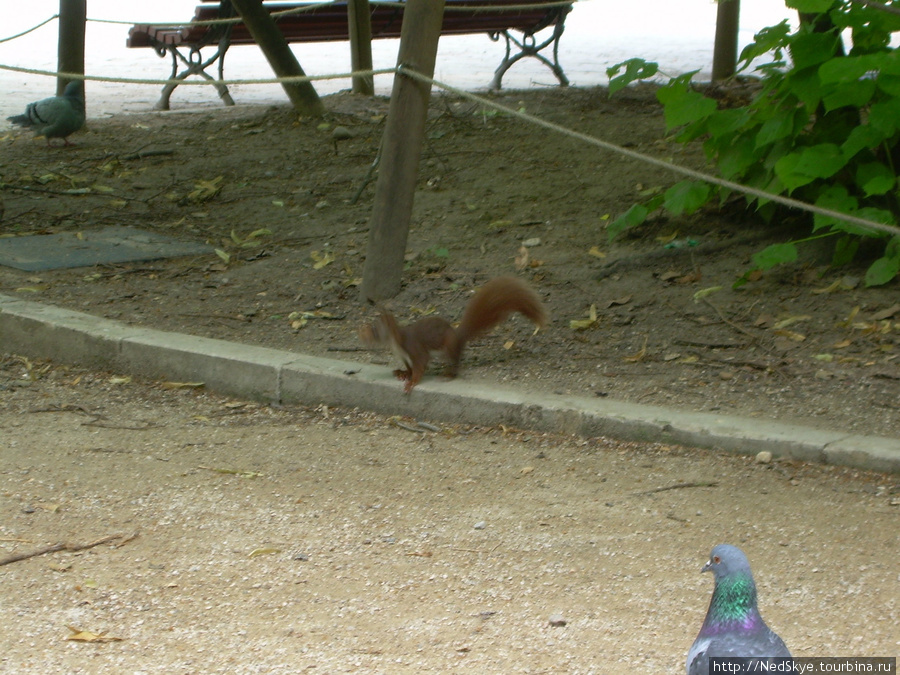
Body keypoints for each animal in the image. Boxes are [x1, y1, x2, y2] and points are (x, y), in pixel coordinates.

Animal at [360, 278, 548, 394]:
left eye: (375, 331)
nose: (363, 336)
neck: (395, 343)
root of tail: (458, 336)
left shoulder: (414, 348)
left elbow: (420, 365)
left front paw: (411, 382)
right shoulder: (404, 356)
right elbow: (410, 368)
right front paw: (402, 373)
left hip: (449, 346)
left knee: (456, 362)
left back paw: (448, 375)